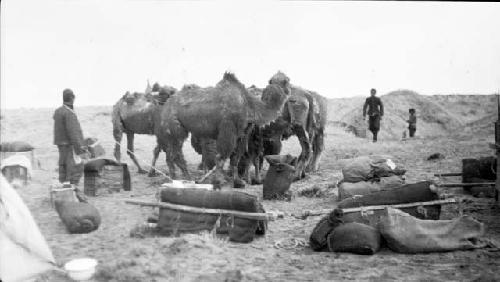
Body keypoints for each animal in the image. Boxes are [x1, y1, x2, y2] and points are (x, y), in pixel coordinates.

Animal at [155, 71, 290, 186]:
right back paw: (179, 179)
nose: (289, 89)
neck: (249, 104)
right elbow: (221, 157)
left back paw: (182, 179)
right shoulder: (228, 129)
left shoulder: (242, 133)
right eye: (287, 80)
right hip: (173, 127)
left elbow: (235, 158)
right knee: (174, 154)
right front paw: (218, 181)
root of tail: (164, 106)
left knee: (173, 155)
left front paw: (239, 182)